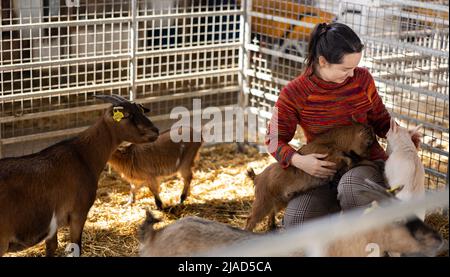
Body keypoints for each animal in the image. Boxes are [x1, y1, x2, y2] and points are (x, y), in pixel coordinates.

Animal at [0, 95, 159, 256]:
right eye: (127, 115)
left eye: (140, 111)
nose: (155, 131)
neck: (83, 155)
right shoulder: (78, 213)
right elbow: (76, 247)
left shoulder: (53, 223)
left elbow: (52, 246)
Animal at [244, 122, 374, 230]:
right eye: (370, 142)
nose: (372, 155)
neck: (332, 143)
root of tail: (257, 177)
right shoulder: (332, 160)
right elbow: (349, 160)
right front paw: (370, 163)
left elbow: (350, 160)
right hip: (262, 202)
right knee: (251, 219)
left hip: (278, 201)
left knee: (271, 212)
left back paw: (272, 227)